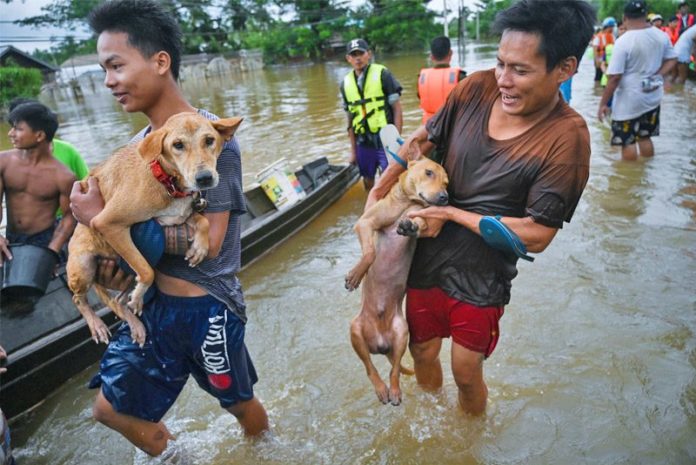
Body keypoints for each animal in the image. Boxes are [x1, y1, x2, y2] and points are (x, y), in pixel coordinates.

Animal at [68, 111, 242, 344]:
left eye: (209, 140)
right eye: (177, 145)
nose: (204, 178)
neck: (165, 179)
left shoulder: (176, 217)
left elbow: (202, 221)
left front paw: (200, 247)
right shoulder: (107, 223)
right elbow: (147, 271)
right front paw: (140, 293)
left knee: (118, 301)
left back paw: (135, 323)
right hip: (83, 266)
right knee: (78, 299)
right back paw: (98, 324)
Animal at [346, 150, 448, 404]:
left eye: (447, 183)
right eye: (428, 172)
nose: (445, 197)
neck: (410, 202)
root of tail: (381, 345)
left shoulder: (424, 219)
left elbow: (418, 223)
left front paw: (410, 226)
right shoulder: (365, 222)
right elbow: (370, 253)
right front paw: (356, 275)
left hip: (402, 333)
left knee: (394, 370)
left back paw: (393, 390)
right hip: (355, 330)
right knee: (369, 367)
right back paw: (381, 388)